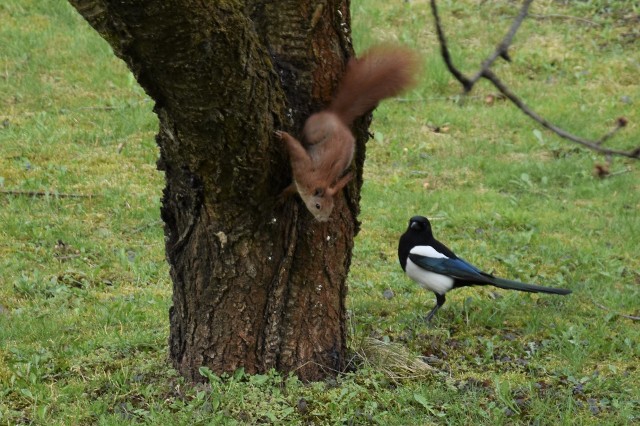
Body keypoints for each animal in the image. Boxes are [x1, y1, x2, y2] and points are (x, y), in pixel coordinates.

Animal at [276, 45, 420, 221]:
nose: (323, 220)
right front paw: (283, 136)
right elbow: (295, 148)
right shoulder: (304, 169)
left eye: (331, 208)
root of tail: (337, 117)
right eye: (318, 206)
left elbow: (291, 187)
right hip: (314, 130)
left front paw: (283, 195)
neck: (318, 182)